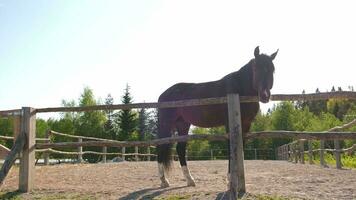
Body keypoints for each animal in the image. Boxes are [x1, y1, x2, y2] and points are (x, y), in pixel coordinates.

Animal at [156, 46, 278, 187]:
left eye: (272, 70)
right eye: (255, 68)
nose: (265, 96)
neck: (239, 90)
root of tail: (163, 95)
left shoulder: (246, 124)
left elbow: (240, 148)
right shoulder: (229, 123)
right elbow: (231, 148)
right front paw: (230, 180)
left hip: (183, 124)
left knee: (180, 149)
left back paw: (190, 180)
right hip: (166, 124)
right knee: (160, 147)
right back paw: (164, 181)